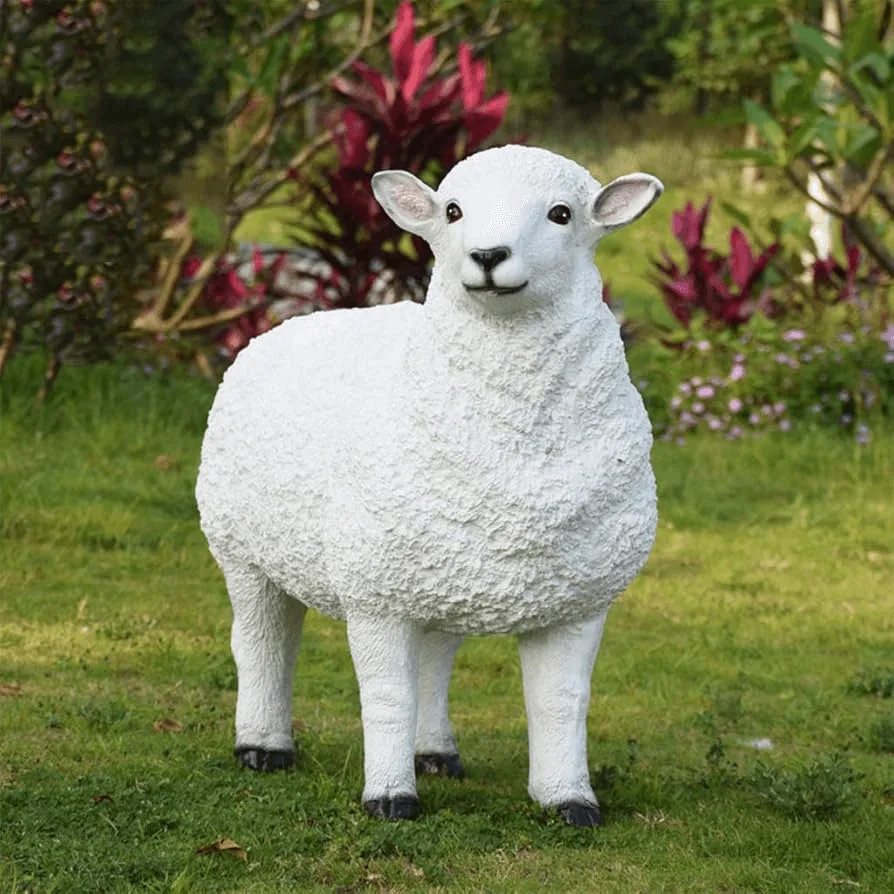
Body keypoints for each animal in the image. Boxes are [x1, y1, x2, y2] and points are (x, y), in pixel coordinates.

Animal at [195, 144, 663, 826]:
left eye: (562, 213)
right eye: (452, 211)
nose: (488, 256)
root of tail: (290, 321)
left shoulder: (577, 602)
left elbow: (561, 702)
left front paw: (569, 800)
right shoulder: (372, 593)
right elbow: (387, 695)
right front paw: (389, 798)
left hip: (442, 564)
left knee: (436, 657)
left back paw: (435, 752)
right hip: (241, 546)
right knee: (261, 642)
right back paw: (263, 745)